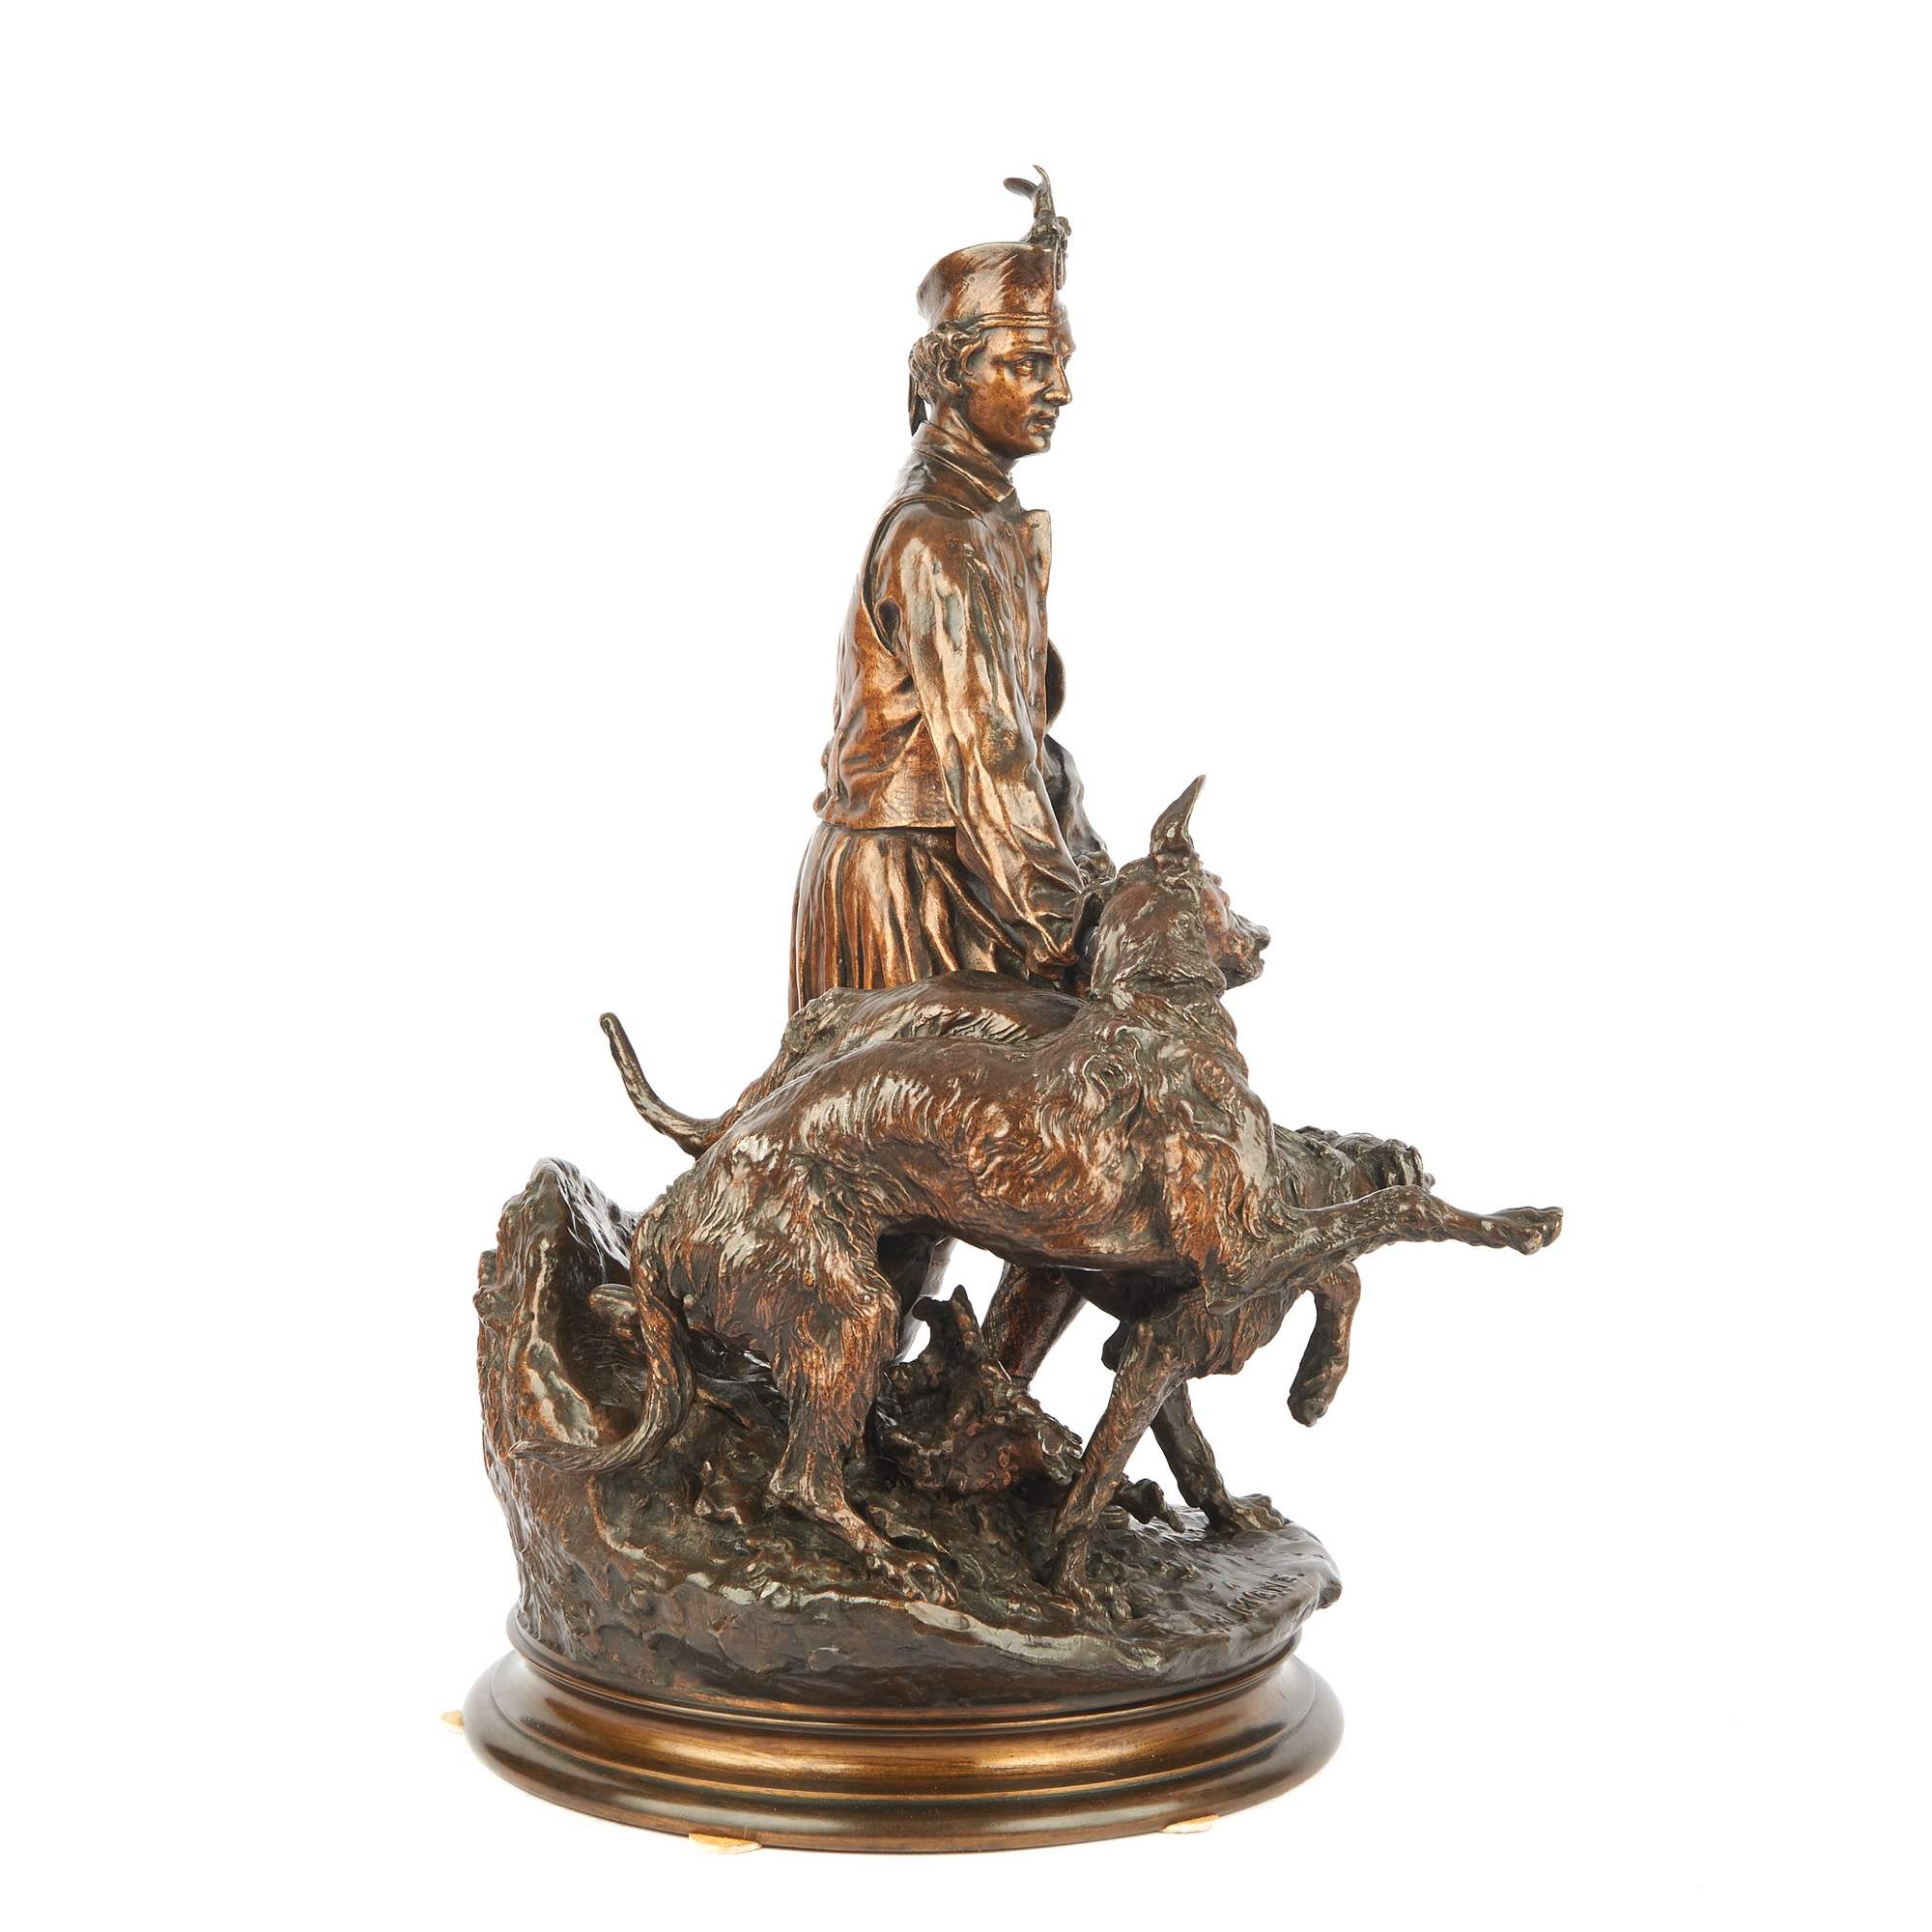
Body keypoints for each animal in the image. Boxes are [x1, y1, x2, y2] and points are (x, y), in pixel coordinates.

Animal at [524, 779, 1560, 1598]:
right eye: (1223, 892)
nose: (1265, 935)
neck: (1154, 1013)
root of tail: (674, 1211)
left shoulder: (1169, 1305)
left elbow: (1278, 1332)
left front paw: (1261, 1452)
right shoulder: (1238, 1257)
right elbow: (1390, 1216)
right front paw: (1517, 1223)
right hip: (845, 1304)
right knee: (798, 1475)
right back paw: (896, 1554)